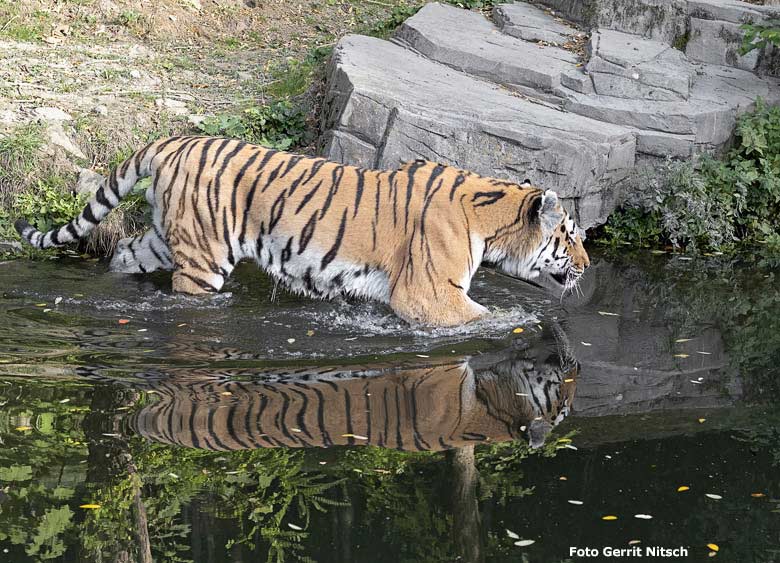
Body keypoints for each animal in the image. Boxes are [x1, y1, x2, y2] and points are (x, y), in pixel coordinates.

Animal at [15, 135, 588, 326]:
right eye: (572, 235)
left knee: (122, 253)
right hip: (204, 259)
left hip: (163, 238)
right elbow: (485, 319)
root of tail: (173, 140)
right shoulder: (428, 296)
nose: (586, 267)